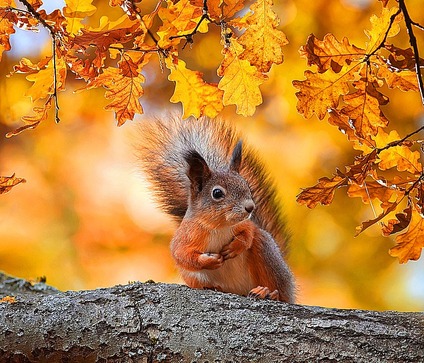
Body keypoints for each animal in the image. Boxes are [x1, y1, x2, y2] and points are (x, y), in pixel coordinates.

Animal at [138, 116, 294, 304]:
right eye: (217, 193)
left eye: (246, 185)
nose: (250, 207)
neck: (219, 227)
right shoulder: (184, 237)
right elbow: (182, 256)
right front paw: (209, 261)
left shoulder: (245, 224)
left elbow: (249, 232)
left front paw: (235, 246)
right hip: (194, 278)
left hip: (267, 254)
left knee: (280, 290)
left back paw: (268, 292)